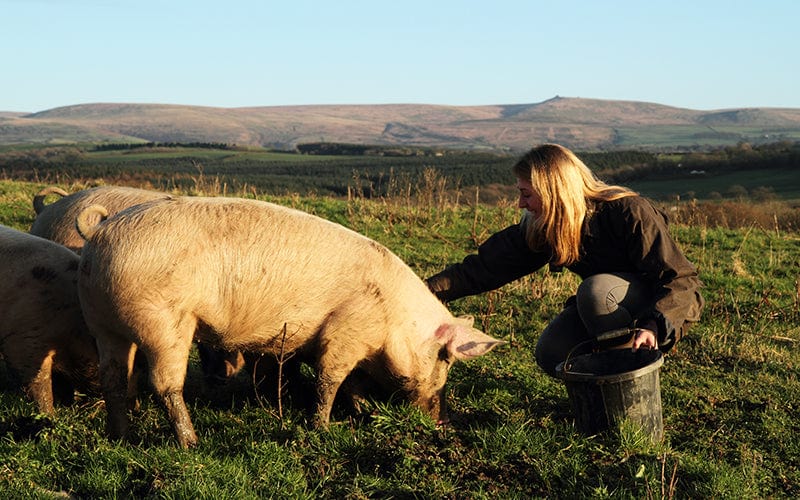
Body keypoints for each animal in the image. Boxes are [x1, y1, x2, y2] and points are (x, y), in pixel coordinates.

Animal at [75, 196, 504, 448]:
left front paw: (362, 412)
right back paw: (191, 443)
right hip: (164, 323)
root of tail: (102, 231)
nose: (443, 423)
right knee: (164, 384)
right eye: (445, 358)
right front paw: (324, 428)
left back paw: (120, 436)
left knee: (113, 378)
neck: (394, 320)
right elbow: (330, 379)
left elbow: (352, 384)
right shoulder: (345, 331)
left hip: (102, 322)